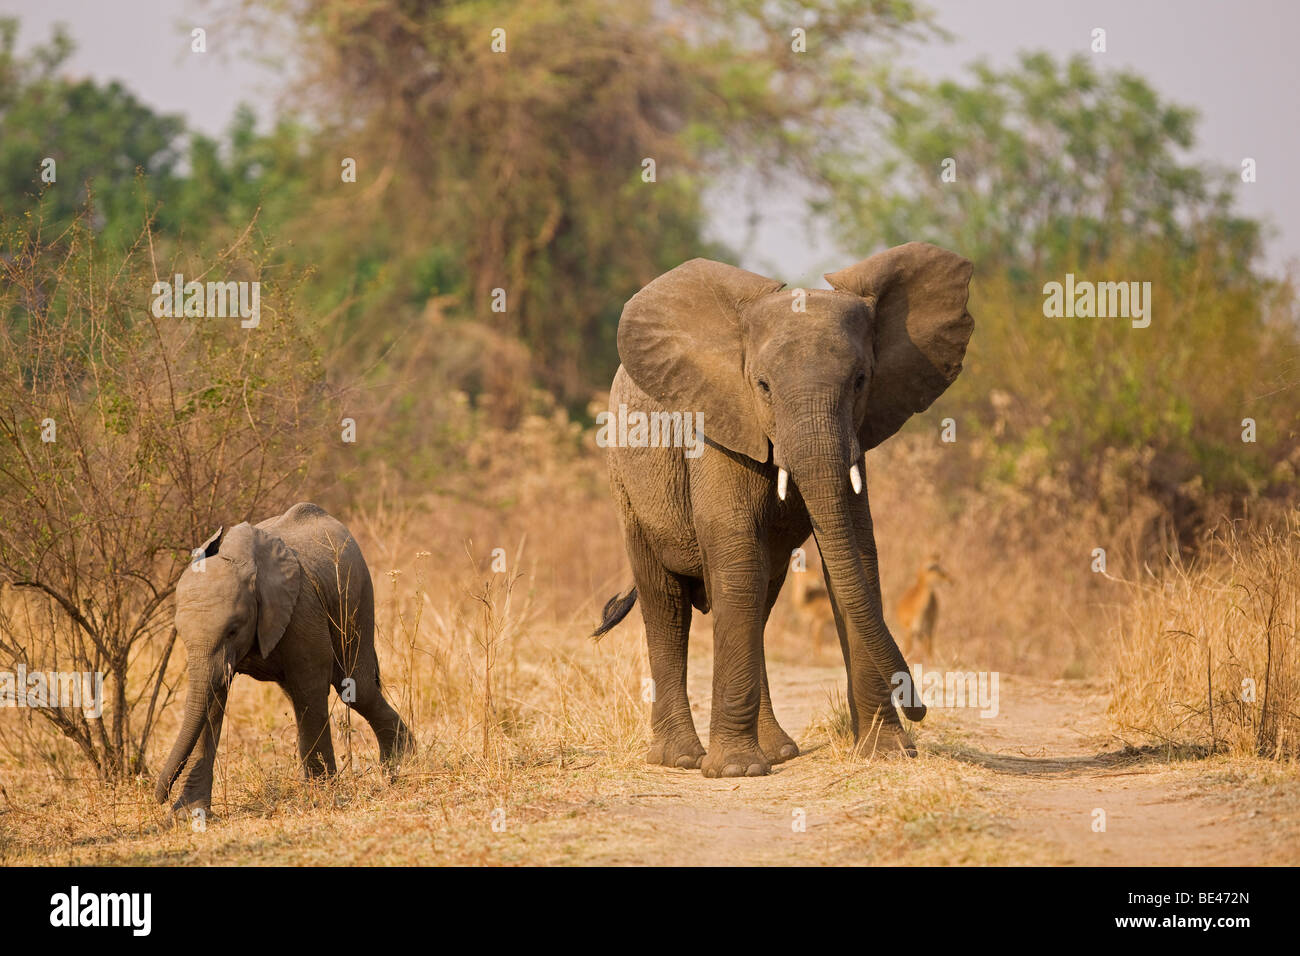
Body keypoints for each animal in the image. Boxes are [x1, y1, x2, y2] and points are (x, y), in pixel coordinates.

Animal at [156, 502, 410, 816]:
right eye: (180, 633)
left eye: (233, 630)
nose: (159, 796)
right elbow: (211, 701)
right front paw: (187, 815)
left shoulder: (301, 609)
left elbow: (310, 686)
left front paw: (320, 796)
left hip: (358, 593)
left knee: (355, 688)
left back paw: (402, 764)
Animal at [595, 239, 972, 780]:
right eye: (763, 386)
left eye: (861, 381)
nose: (919, 706)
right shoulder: (719, 424)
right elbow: (736, 559)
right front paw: (735, 772)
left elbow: (856, 559)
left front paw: (888, 754)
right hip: (627, 482)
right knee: (666, 601)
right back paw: (682, 759)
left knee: (760, 595)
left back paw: (777, 753)